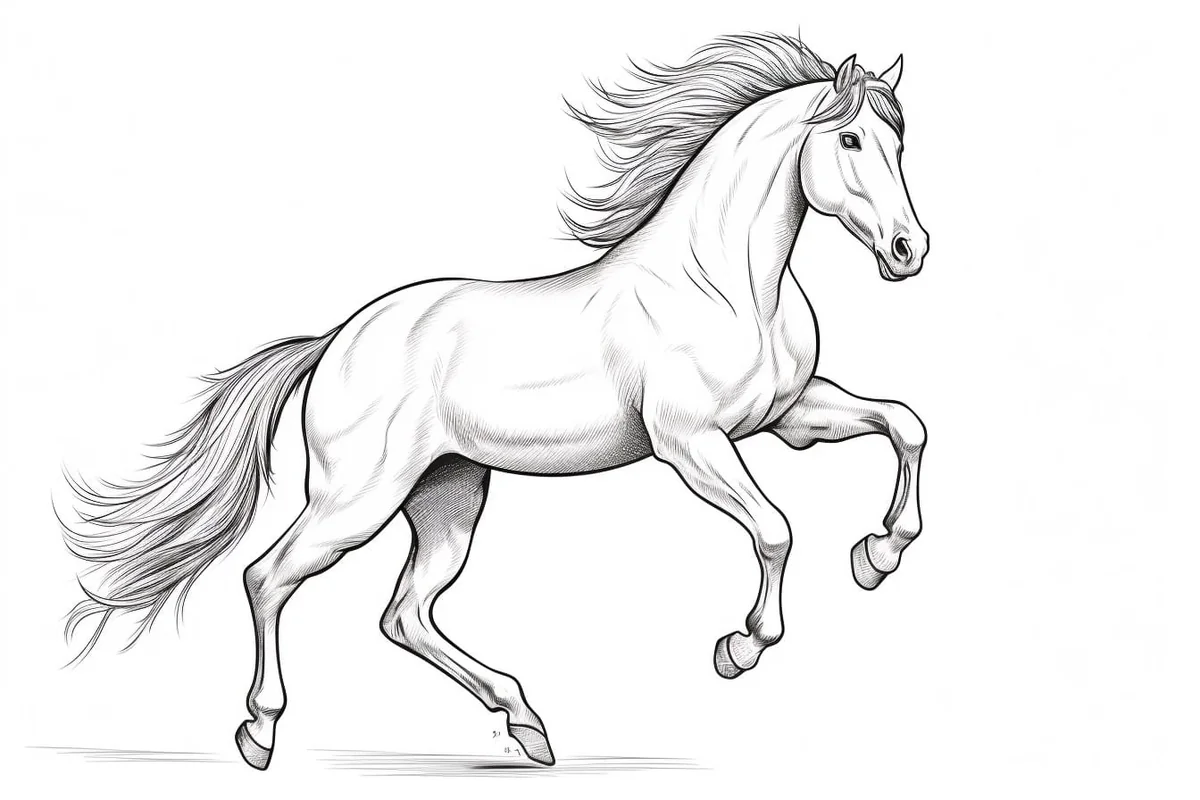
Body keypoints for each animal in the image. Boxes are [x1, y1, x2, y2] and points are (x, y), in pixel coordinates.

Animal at [61, 32, 929, 770]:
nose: (909, 251)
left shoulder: (789, 416)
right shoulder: (692, 442)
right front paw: (740, 648)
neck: (722, 282)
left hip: (447, 497)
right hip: (356, 499)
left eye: (897, 143)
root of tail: (335, 341)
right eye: (851, 142)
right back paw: (260, 732)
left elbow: (905, 425)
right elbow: (777, 529)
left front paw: (878, 555)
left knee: (404, 614)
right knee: (266, 576)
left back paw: (529, 724)